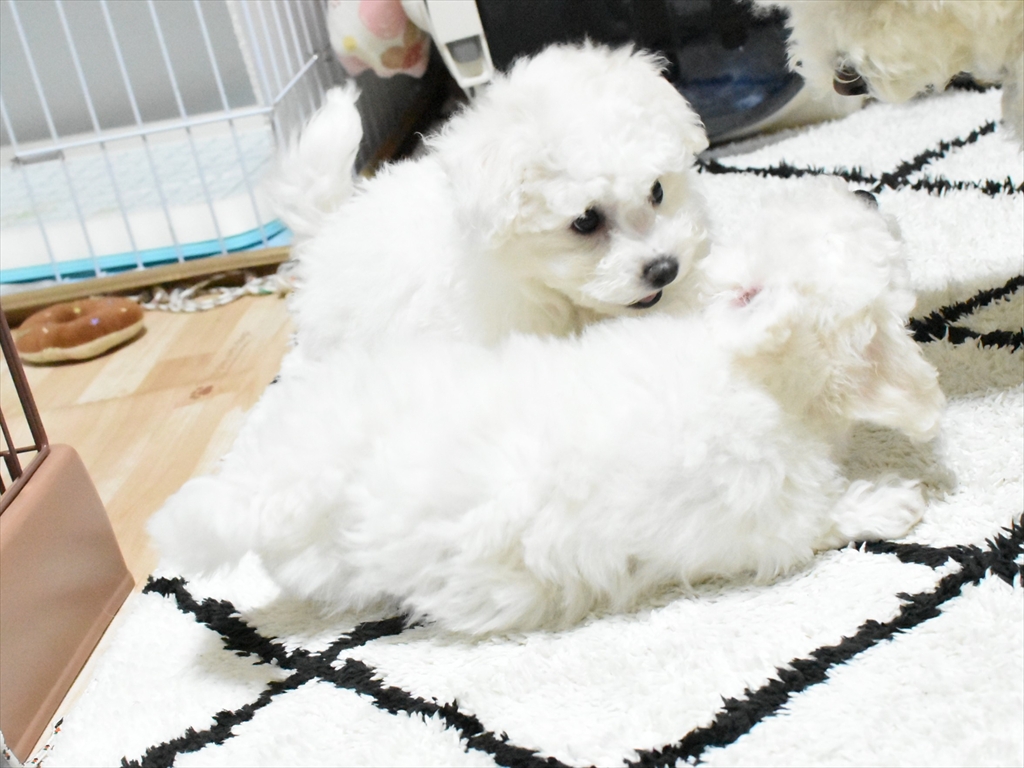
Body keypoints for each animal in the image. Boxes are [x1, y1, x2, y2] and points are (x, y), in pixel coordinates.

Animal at [149, 178, 944, 635]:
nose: (872, 197)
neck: (751, 374)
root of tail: (263, 490)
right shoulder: (760, 514)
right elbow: (818, 519)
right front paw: (890, 502)